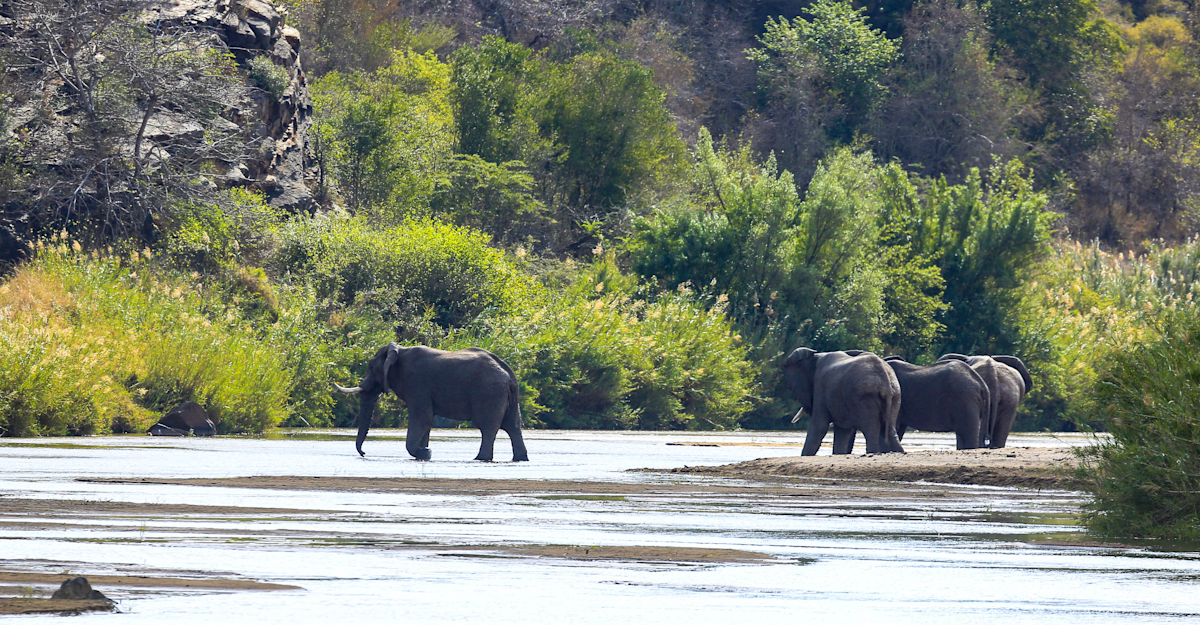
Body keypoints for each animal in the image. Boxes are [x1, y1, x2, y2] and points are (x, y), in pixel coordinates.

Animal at [335, 343, 529, 461]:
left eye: (371, 367)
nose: (364, 453)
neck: (400, 350)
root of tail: (509, 375)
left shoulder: (417, 384)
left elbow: (423, 418)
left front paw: (425, 453)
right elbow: (426, 421)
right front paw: (425, 452)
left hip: (489, 393)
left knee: (488, 427)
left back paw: (480, 458)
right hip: (506, 395)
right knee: (513, 426)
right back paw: (520, 458)